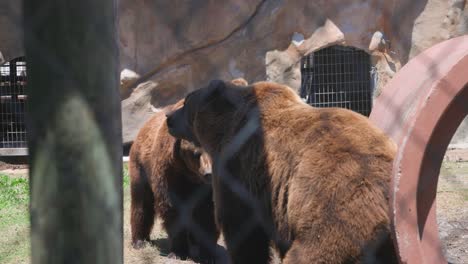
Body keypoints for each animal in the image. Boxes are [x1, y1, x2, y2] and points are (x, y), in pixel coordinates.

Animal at [130, 99, 219, 262]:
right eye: (196, 153)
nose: (209, 174)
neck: (192, 176)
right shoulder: (171, 172)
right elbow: (173, 209)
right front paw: (178, 252)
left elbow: (208, 213)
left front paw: (208, 254)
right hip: (140, 166)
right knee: (141, 202)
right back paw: (139, 241)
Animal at [166, 80, 396, 264]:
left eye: (185, 103)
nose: (168, 117)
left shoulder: (238, 166)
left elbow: (241, 227)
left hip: (338, 207)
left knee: (314, 251)